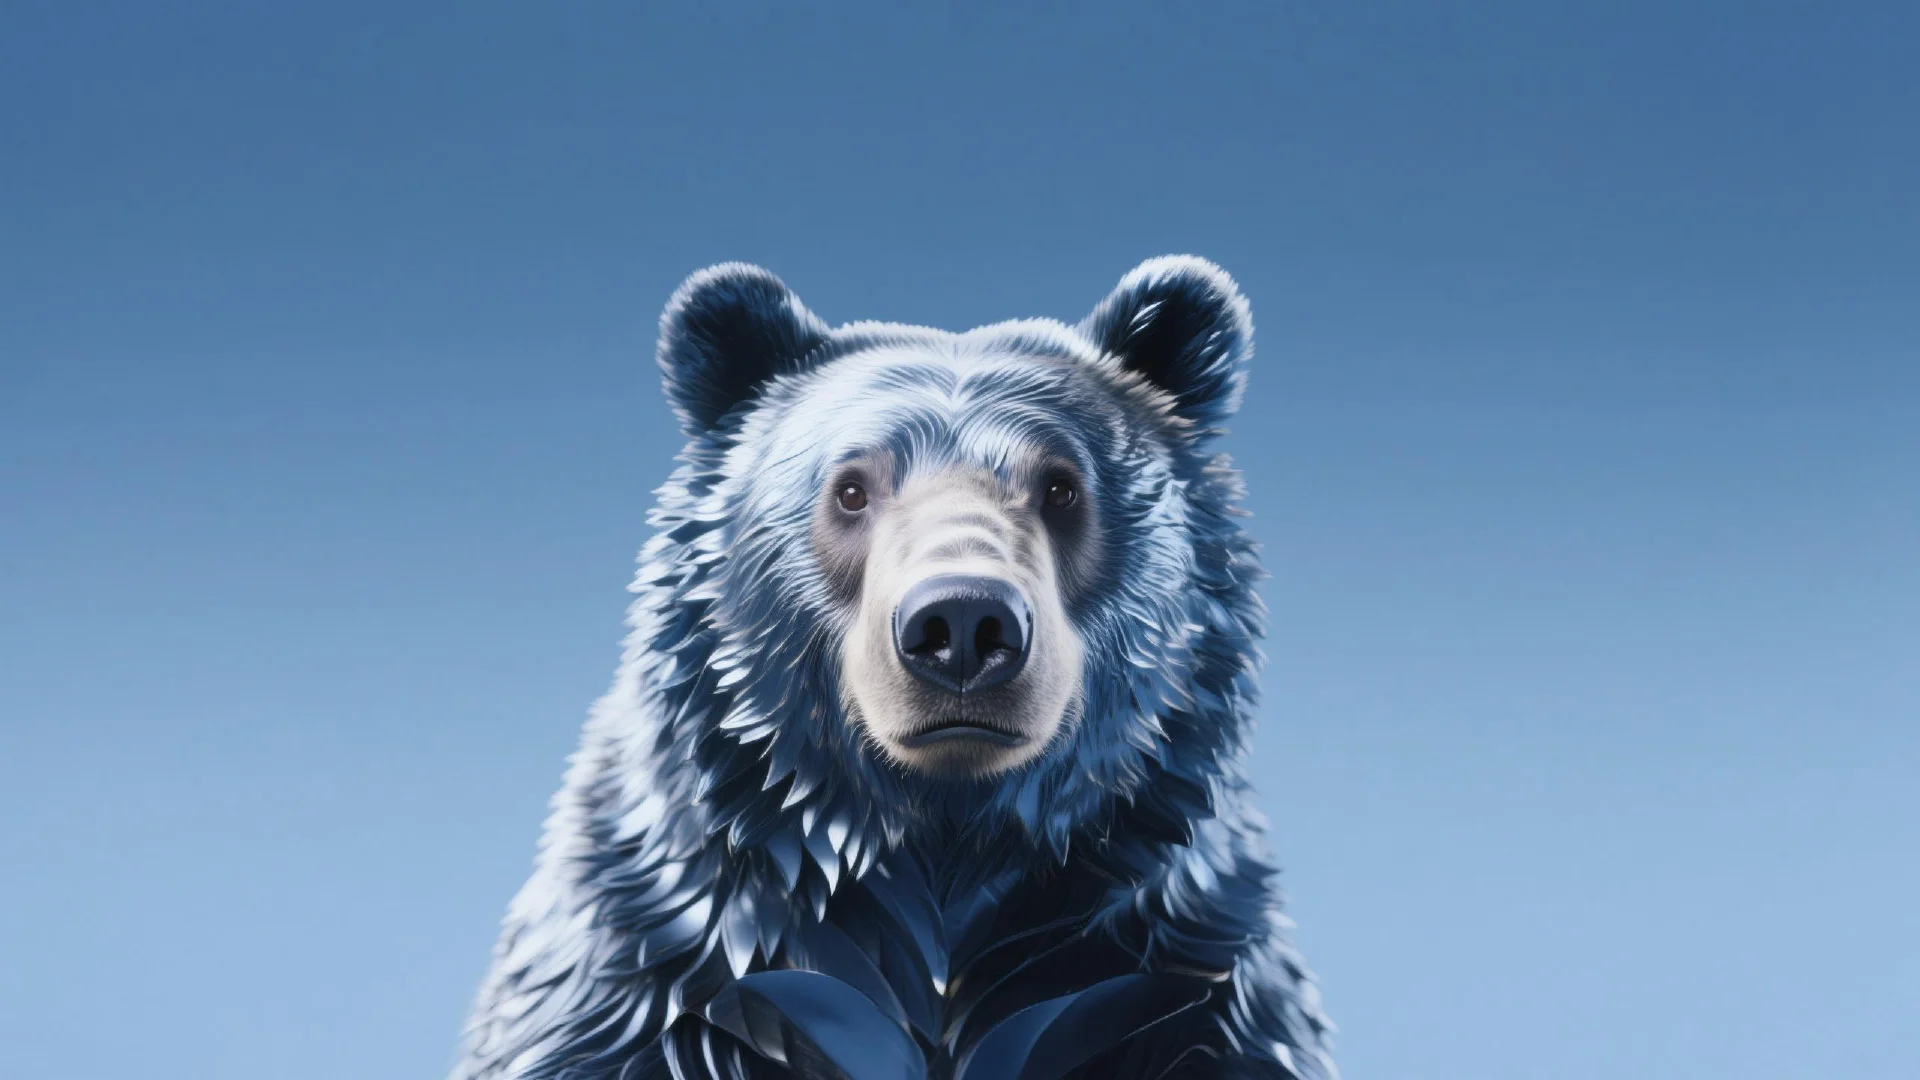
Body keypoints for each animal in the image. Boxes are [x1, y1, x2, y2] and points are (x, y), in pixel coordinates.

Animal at [450, 257, 1337, 1080]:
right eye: (850, 488)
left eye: (1061, 485)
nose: (964, 624)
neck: (943, 844)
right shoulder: (656, 973)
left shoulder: (1180, 979)